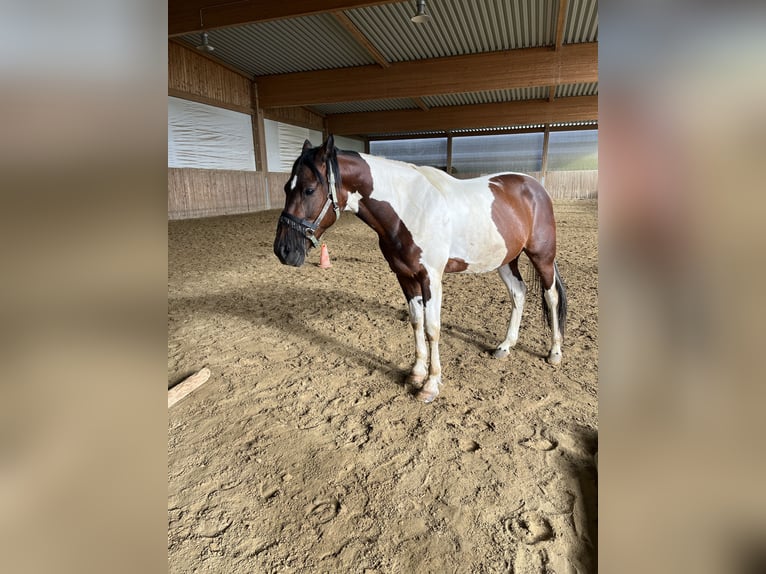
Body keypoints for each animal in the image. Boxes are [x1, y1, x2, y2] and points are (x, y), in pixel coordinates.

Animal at [272, 135, 568, 404]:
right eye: (286, 187)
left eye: (309, 190)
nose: (283, 250)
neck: (408, 207)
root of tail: (534, 186)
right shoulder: (405, 276)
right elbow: (416, 322)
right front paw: (416, 373)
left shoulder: (431, 279)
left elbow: (432, 328)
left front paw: (430, 385)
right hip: (507, 259)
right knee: (519, 293)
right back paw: (506, 345)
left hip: (542, 256)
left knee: (551, 296)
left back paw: (554, 352)